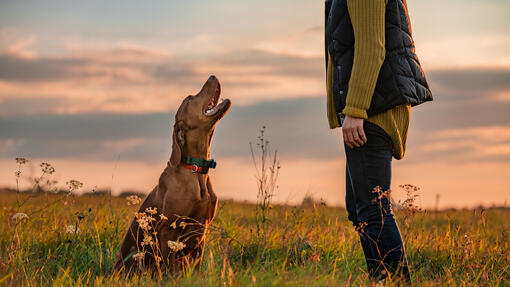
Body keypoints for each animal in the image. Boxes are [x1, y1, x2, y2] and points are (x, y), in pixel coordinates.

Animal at [113, 76, 231, 274]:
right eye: (190, 98)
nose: (212, 76)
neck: (196, 169)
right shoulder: (168, 230)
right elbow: (167, 267)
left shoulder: (201, 230)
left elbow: (196, 266)